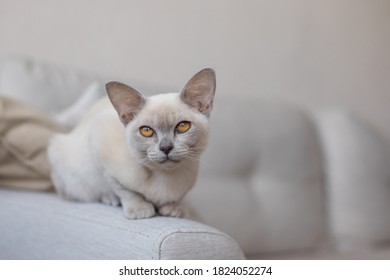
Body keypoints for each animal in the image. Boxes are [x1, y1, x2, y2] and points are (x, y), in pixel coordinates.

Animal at [48, 68, 216, 219]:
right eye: (146, 131)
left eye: (182, 126)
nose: (166, 148)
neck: (166, 178)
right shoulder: (100, 145)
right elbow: (126, 191)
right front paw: (139, 209)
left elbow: (176, 198)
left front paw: (172, 208)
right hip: (63, 160)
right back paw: (110, 199)